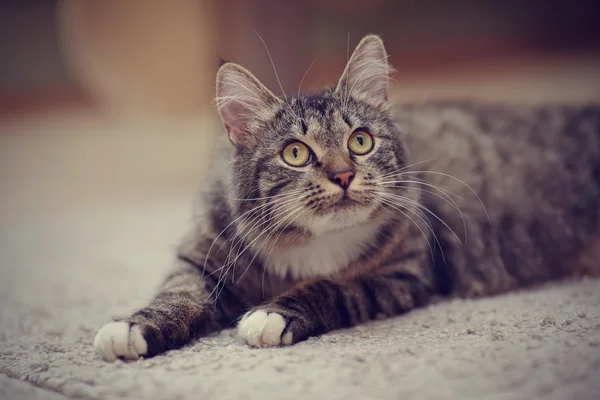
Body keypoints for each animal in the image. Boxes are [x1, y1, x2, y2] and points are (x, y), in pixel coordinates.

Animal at [92, 33, 600, 360]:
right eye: (296, 153)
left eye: (360, 141)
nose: (342, 175)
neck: (307, 242)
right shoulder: (200, 259)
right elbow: (177, 296)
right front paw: (131, 329)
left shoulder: (402, 274)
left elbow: (331, 287)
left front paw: (271, 315)